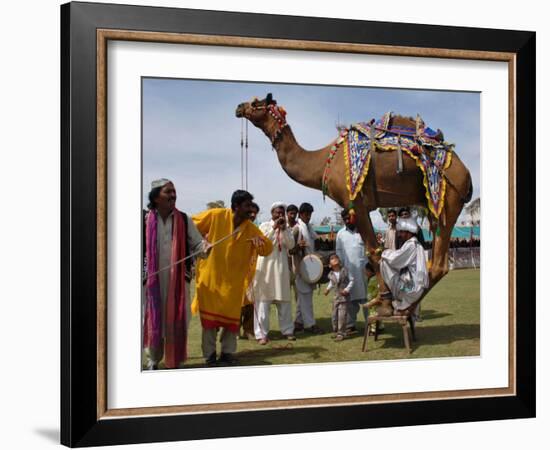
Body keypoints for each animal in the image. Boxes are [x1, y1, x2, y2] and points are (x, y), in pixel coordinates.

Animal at [236, 93, 474, 308]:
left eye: (256, 103)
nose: (239, 107)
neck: (323, 162)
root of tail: (466, 174)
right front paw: (382, 298)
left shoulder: (356, 202)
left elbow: (374, 251)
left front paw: (382, 300)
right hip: (433, 205)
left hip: (448, 198)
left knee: (440, 264)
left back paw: (406, 305)